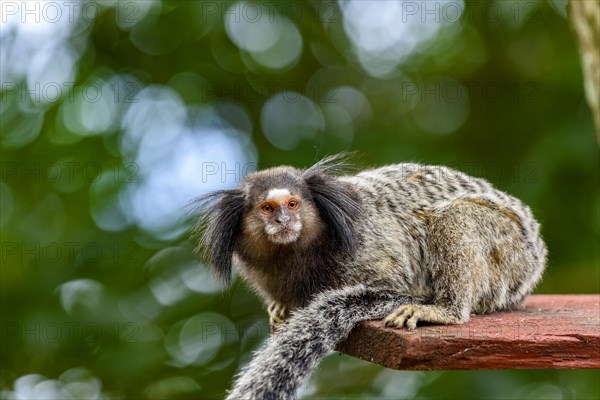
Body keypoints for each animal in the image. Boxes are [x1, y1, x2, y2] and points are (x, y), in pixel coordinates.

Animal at [193, 154, 548, 400]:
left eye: (292, 204)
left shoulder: (370, 252)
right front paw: (280, 308)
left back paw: (446, 309)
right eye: (267, 208)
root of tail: (537, 253)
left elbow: (387, 291)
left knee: (455, 215)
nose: (284, 220)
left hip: (510, 251)